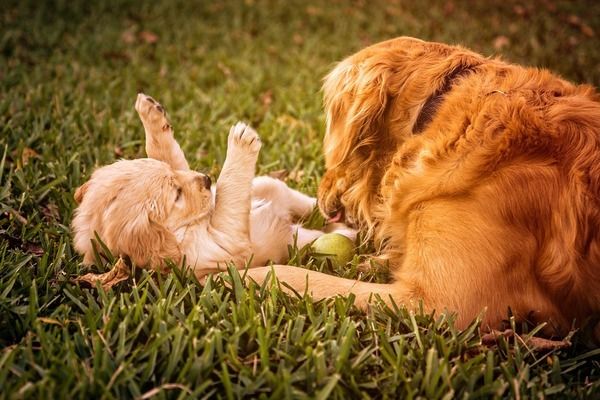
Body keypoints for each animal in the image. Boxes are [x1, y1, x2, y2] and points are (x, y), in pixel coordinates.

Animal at [72, 95, 344, 278]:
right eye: (176, 195)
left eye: (174, 179)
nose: (205, 179)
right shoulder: (221, 248)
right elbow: (227, 201)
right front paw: (240, 142)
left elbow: (168, 154)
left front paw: (151, 115)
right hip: (298, 238)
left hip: (268, 185)